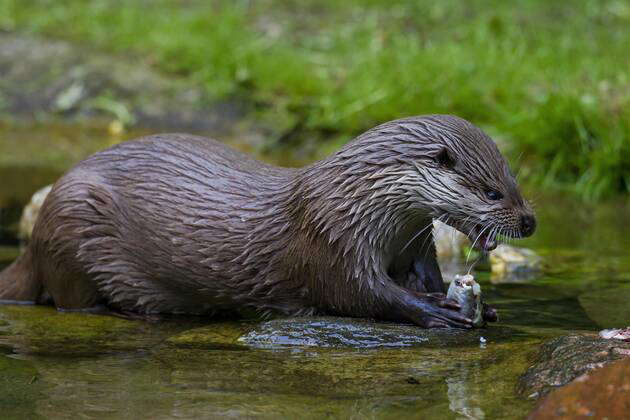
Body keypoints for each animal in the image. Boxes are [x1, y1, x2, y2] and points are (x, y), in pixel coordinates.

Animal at [0, 115, 536, 328]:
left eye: (515, 180)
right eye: (492, 192)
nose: (529, 221)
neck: (358, 202)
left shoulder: (414, 241)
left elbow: (424, 276)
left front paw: (484, 308)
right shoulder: (330, 238)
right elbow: (360, 293)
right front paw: (434, 310)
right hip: (72, 220)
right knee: (72, 299)